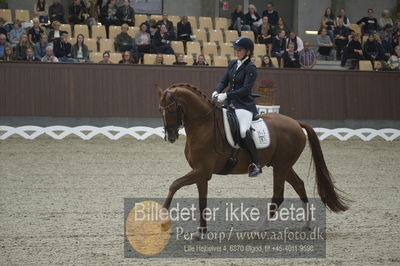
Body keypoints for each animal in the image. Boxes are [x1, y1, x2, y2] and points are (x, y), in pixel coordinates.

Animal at [156, 83, 346, 233]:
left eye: (171, 109)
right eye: (160, 110)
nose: (170, 136)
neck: (204, 126)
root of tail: (296, 123)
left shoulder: (202, 170)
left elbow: (174, 185)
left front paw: (162, 221)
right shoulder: (201, 173)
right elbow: (201, 200)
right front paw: (201, 231)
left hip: (281, 167)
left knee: (278, 196)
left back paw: (259, 229)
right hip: (283, 165)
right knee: (299, 185)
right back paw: (306, 225)